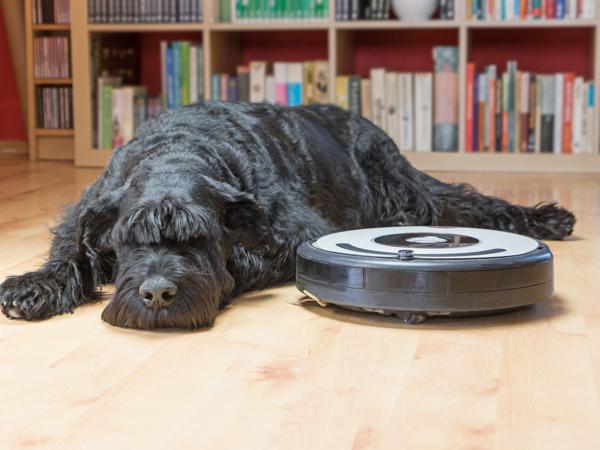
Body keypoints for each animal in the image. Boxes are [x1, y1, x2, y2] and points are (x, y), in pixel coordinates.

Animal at [0, 103, 576, 330]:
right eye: (127, 240)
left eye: (199, 236)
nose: (159, 294)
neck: (179, 152)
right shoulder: (89, 209)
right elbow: (69, 250)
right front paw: (35, 286)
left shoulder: (297, 232)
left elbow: (249, 260)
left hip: (404, 191)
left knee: (461, 201)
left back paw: (545, 218)